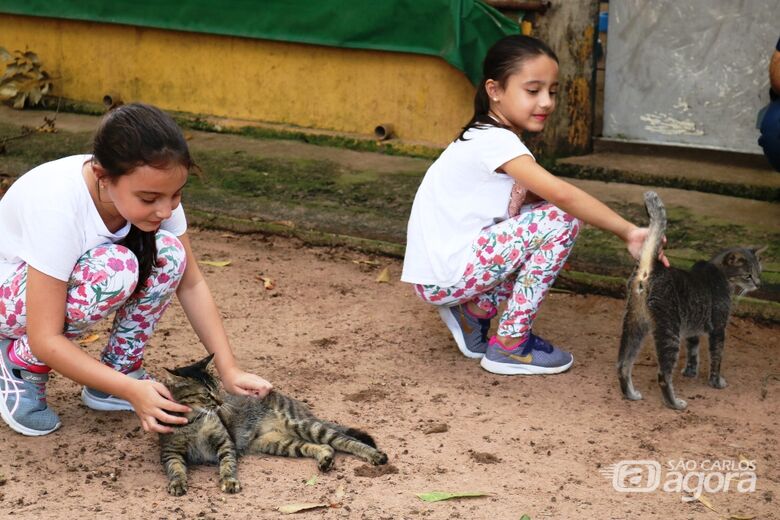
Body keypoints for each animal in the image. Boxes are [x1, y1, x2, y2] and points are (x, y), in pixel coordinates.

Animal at [161, 354, 386, 496]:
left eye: (218, 388)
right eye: (207, 394)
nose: (221, 402)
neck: (194, 422)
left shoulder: (225, 443)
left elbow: (227, 464)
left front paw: (229, 481)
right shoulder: (170, 451)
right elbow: (175, 468)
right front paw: (177, 483)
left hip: (304, 426)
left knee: (344, 441)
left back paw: (375, 455)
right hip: (279, 443)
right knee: (323, 446)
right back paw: (325, 460)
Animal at [620, 191, 764, 410]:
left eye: (758, 272)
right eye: (748, 275)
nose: (758, 284)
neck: (721, 274)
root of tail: (652, 268)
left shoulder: (692, 328)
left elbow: (693, 351)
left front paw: (690, 372)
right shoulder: (718, 328)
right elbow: (716, 357)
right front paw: (716, 382)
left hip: (634, 325)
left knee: (622, 365)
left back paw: (631, 394)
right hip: (669, 332)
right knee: (663, 375)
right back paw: (675, 404)